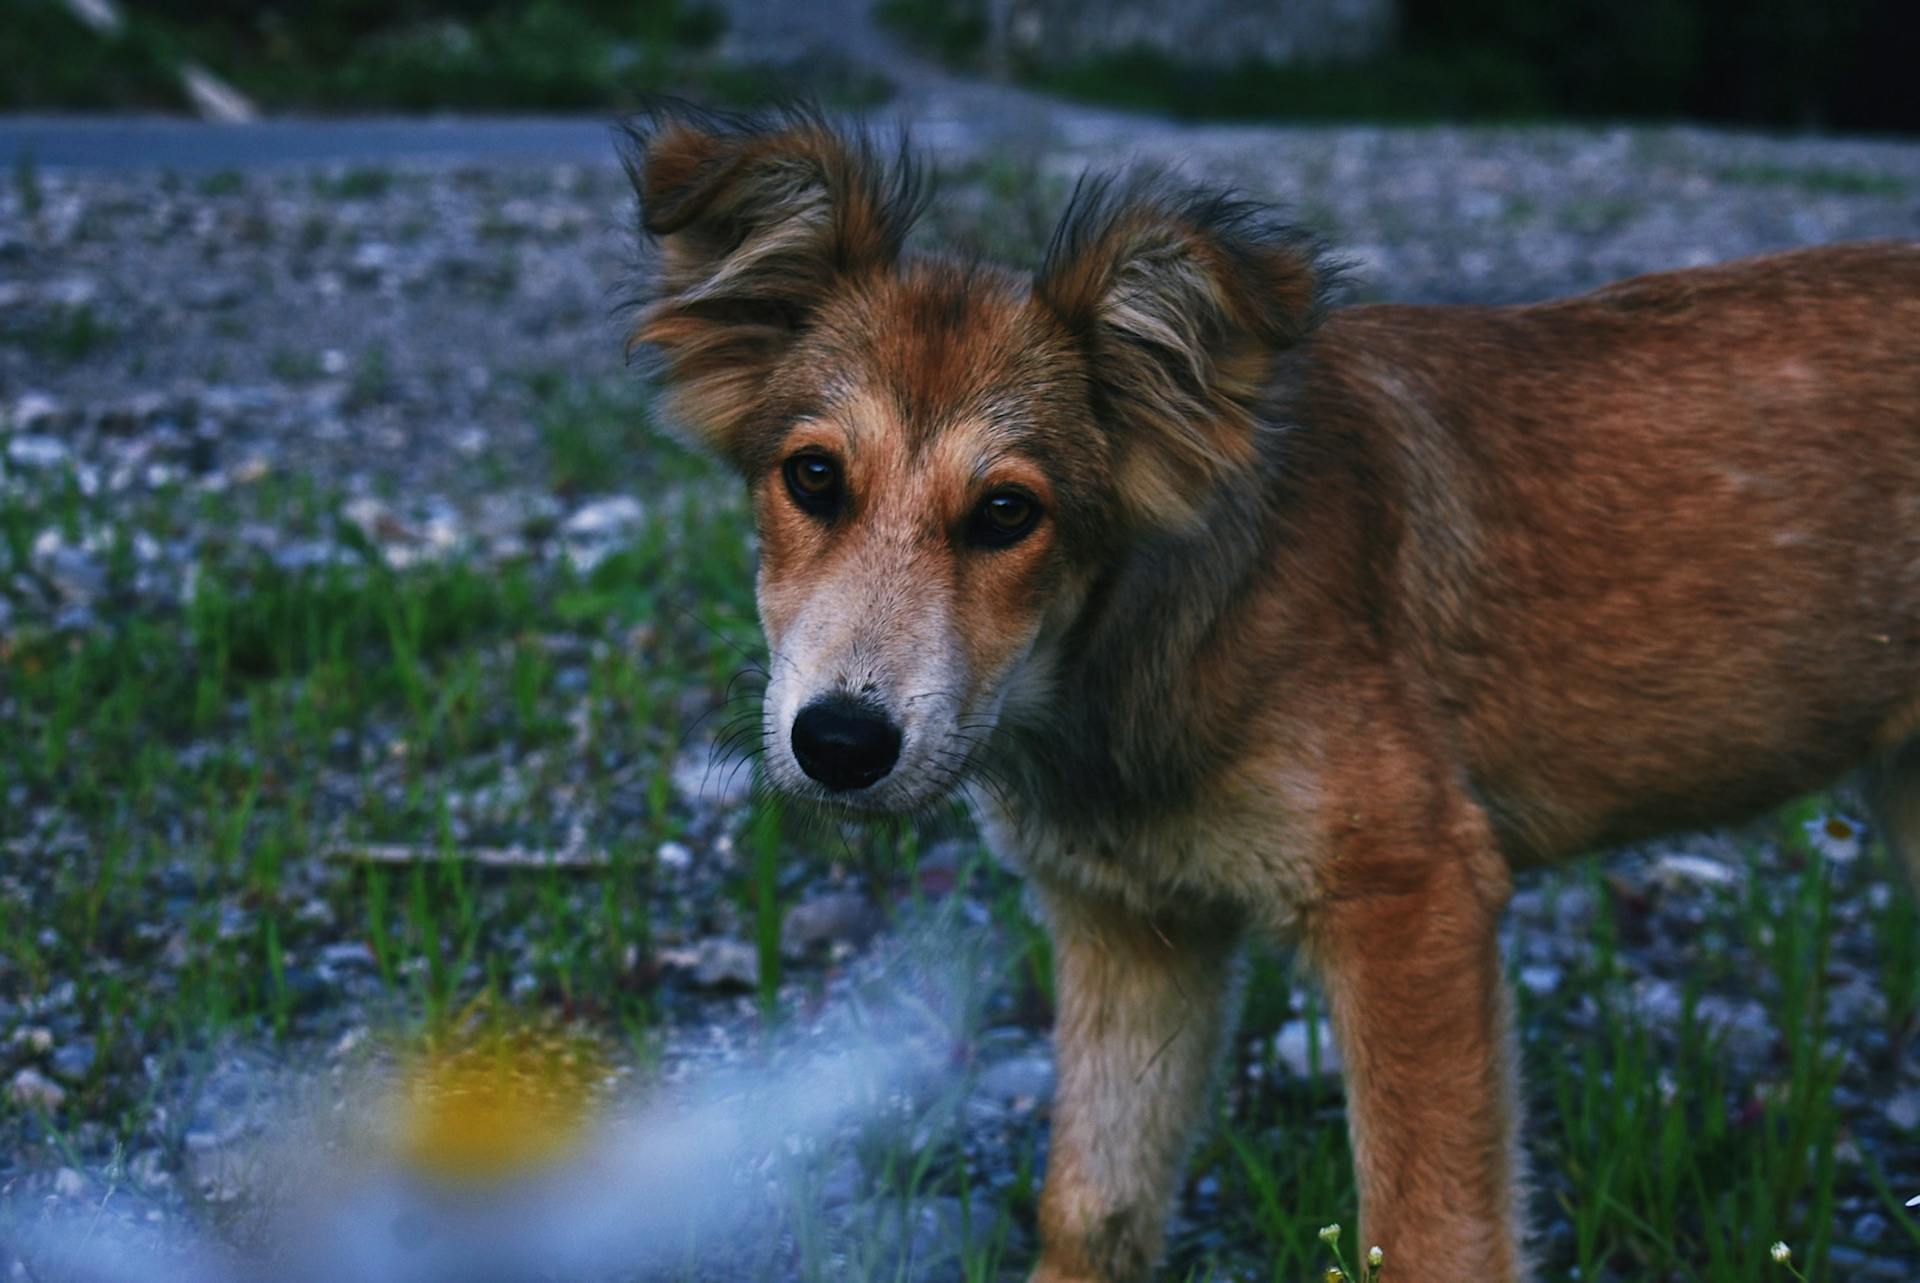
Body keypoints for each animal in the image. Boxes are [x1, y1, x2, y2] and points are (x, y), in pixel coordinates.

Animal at [622, 105, 1920, 1275]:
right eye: (813, 476)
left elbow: (1430, 1238)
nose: (841, 742)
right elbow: (1092, 1208)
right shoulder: (1135, 925)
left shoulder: (1413, 896)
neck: (1128, 654)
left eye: (1006, 511)